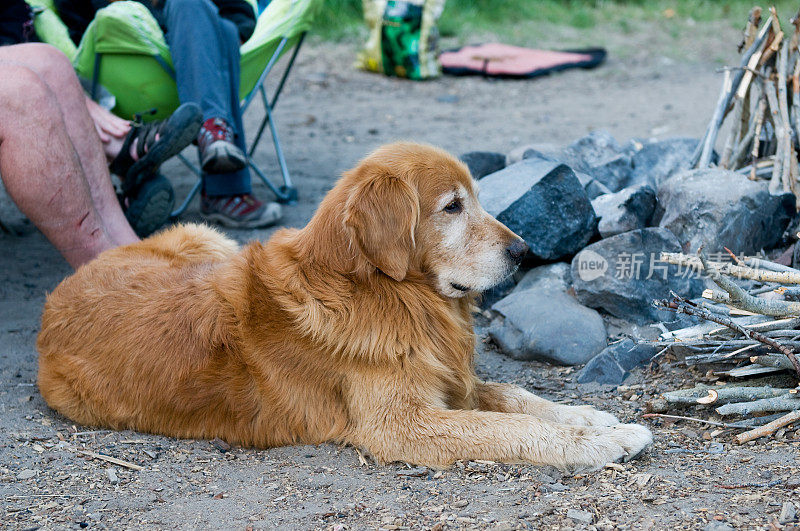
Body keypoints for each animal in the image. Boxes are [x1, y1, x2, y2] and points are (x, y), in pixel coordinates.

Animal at [36, 142, 648, 474]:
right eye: (452, 207)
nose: (525, 252)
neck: (386, 291)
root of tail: (55, 298)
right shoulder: (404, 425)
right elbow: (506, 427)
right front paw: (601, 441)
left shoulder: (448, 382)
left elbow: (517, 398)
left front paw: (593, 418)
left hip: (207, 238)